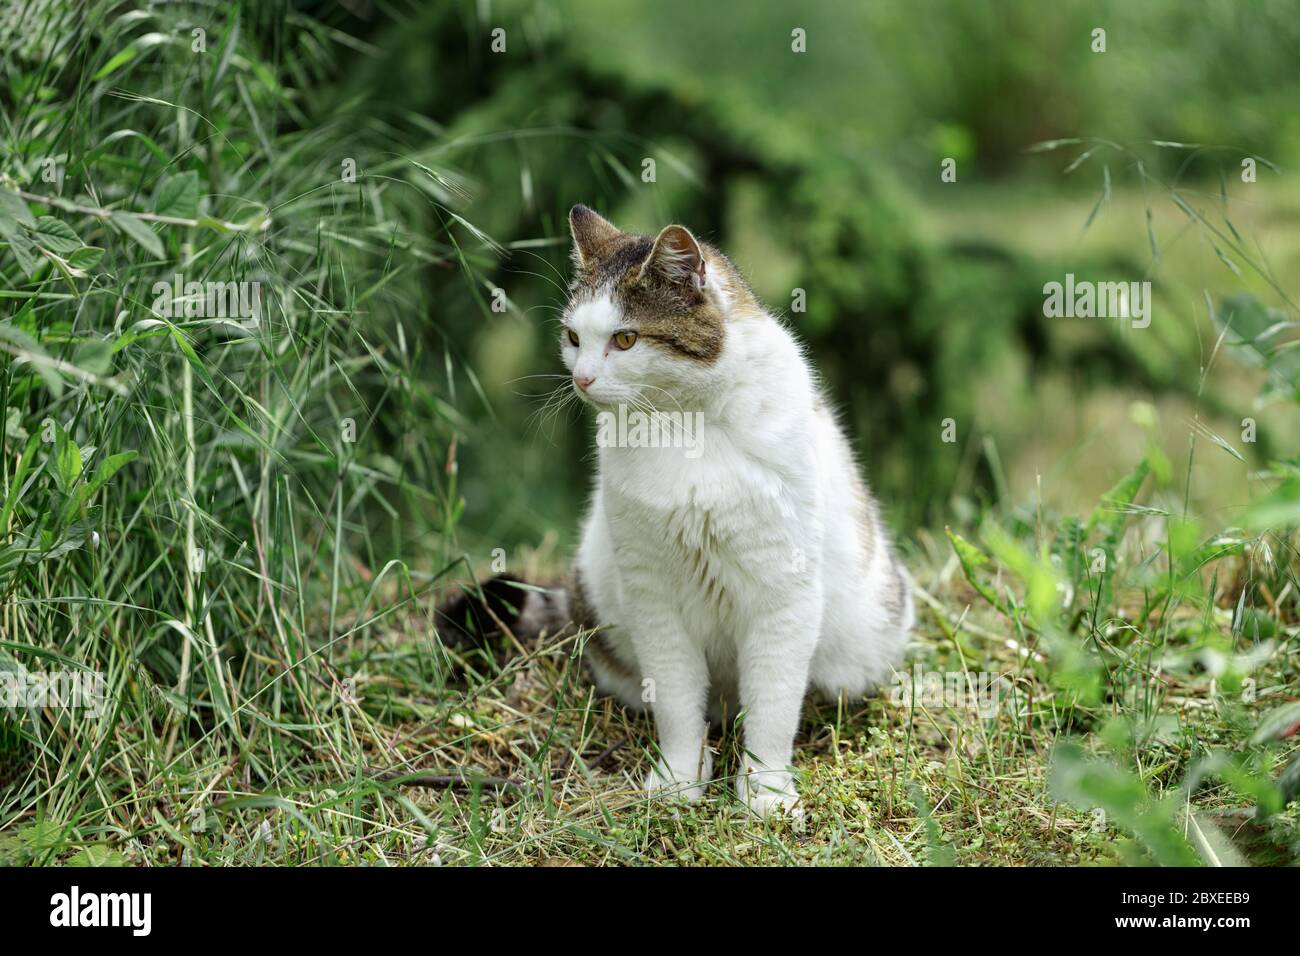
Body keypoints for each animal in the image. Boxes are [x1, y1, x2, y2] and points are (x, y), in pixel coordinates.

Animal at [447, 205, 915, 816]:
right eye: (573, 337)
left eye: (625, 339)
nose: (581, 378)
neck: (684, 428)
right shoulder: (654, 598)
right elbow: (674, 699)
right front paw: (679, 779)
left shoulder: (781, 594)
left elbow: (772, 706)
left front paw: (766, 792)